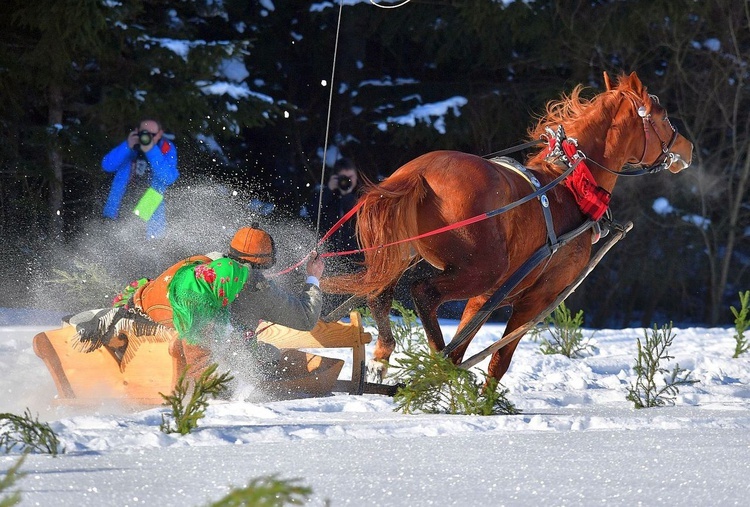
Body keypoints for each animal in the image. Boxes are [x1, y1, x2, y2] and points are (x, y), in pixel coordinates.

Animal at [320, 71, 696, 380]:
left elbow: (464, 345)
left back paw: (384, 354)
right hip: (482, 269)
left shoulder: (487, 296)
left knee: (378, 294)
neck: (571, 184)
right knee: (423, 294)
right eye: (662, 115)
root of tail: (417, 172)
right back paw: (433, 359)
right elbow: (498, 362)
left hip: (405, 257)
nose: (688, 147)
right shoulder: (534, 297)